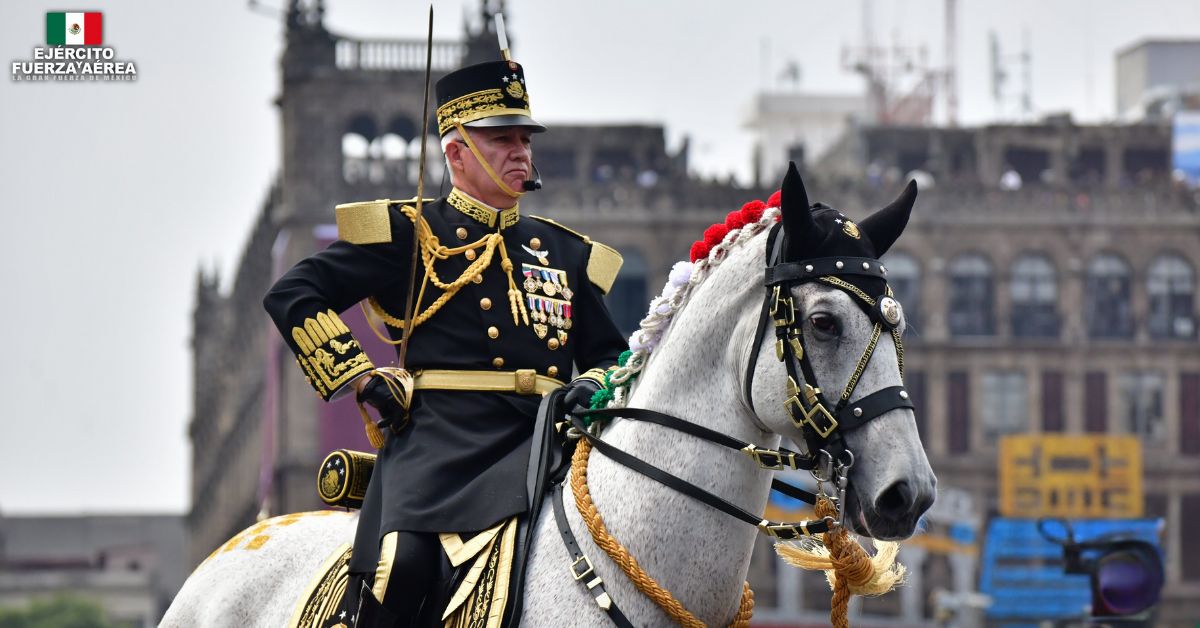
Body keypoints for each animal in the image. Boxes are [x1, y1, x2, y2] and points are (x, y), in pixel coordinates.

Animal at [166, 169, 936, 624]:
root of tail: (244, 539)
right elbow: (293, 291)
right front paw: (384, 392)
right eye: (824, 321)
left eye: (898, 325)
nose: (911, 493)